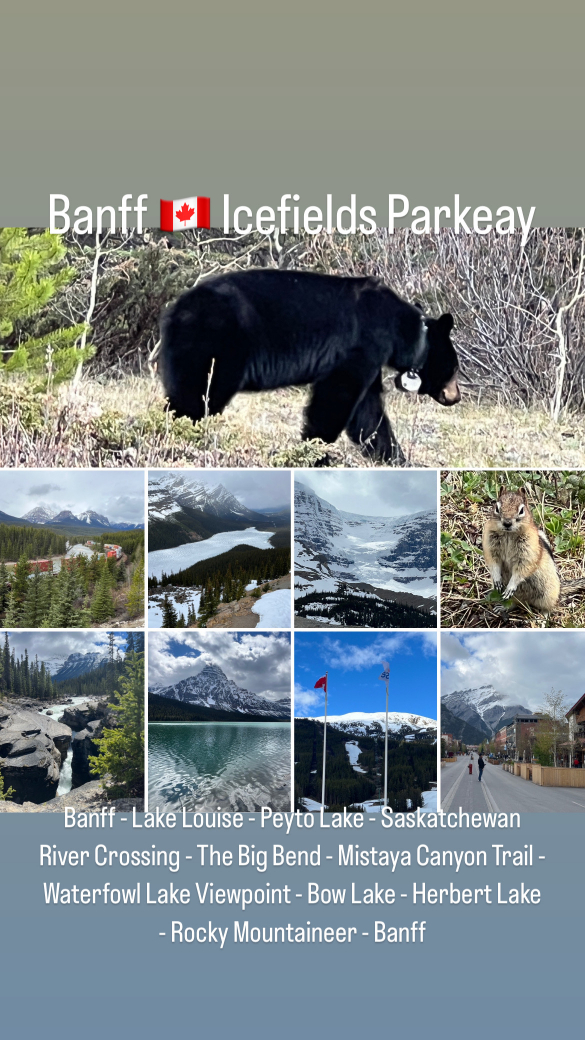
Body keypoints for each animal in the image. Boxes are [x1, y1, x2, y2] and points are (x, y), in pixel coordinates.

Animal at [157, 268, 458, 463]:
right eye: (455, 369)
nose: (455, 397)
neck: (402, 330)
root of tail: (173, 311)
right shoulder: (363, 343)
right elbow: (336, 397)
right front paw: (315, 453)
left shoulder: (370, 358)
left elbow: (368, 414)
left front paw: (395, 457)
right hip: (216, 343)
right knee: (198, 396)